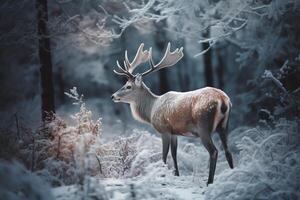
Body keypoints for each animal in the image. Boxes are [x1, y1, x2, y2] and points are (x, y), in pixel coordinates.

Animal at [111, 43, 233, 185]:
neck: (151, 109)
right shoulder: (175, 132)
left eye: (128, 86)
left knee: (214, 151)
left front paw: (162, 176)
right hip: (224, 125)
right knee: (228, 151)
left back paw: (209, 182)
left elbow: (164, 155)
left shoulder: (164, 129)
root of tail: (223, 100)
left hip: (203, 124)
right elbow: (174, 154)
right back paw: (233, 174)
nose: (113, 96)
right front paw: (176, 174)